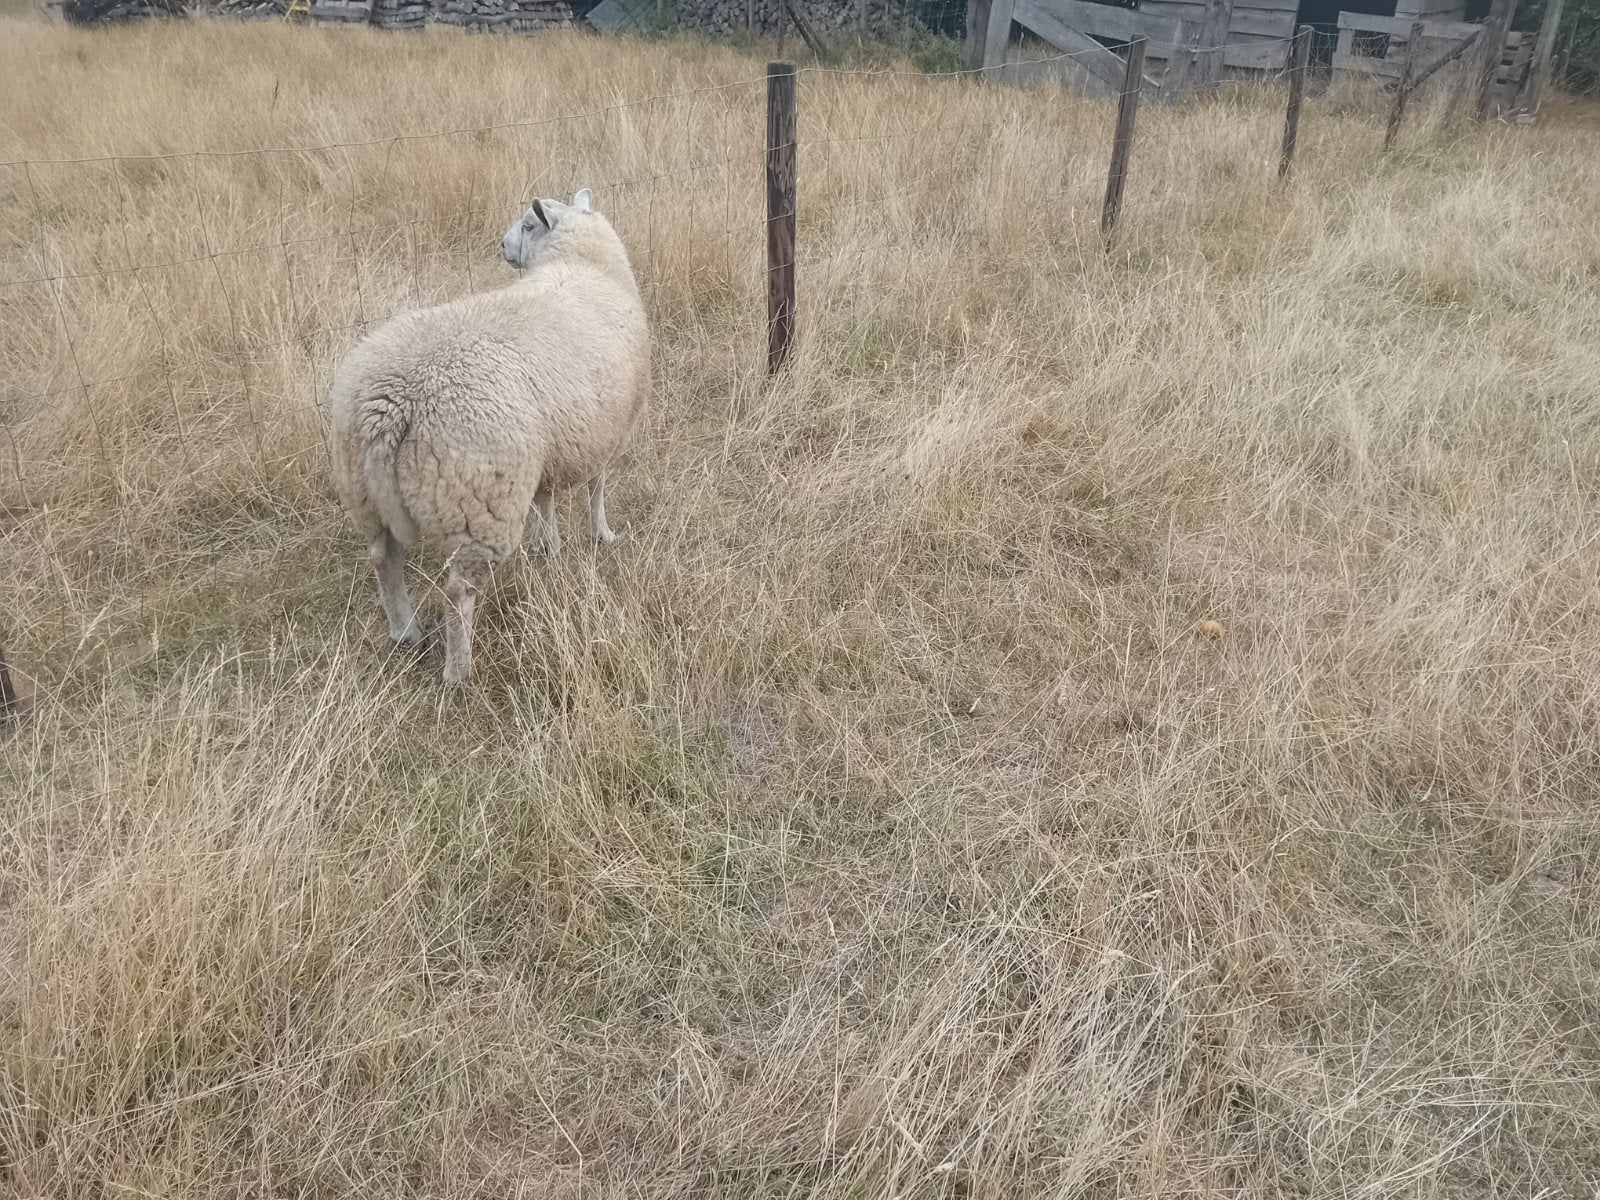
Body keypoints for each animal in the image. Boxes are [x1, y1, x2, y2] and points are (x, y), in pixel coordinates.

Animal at [329, 188, 650, 686]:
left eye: (528, 225)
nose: (501, 246)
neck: (583, 263)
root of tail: (388, 406)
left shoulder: (549, 447)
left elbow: (546, 498)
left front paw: (548, 544)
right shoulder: (610, 430)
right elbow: (597, 488)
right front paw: (602, 534)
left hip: (364, 493)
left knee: (383, 559)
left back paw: (405, 631)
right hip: (478, 503)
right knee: (457, 592)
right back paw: (458, 672)